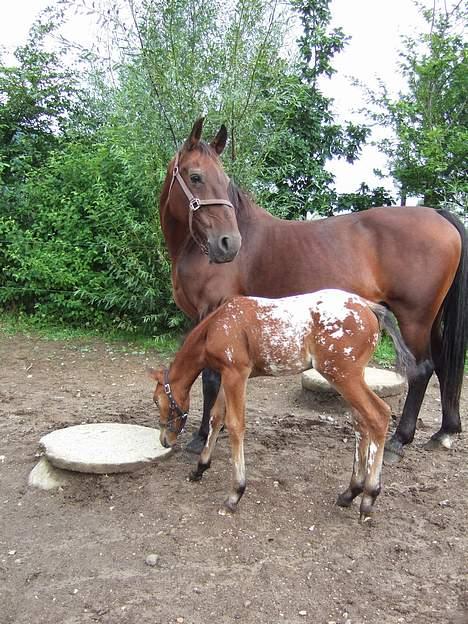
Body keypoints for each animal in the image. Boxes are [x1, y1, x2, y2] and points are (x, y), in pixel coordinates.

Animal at [150, 290, 414, 524]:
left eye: (156, 400)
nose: (164, 439)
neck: (216, 326)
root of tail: (368, 307)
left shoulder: (236, 374)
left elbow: (235, 425)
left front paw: (235, 493)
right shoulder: (227, 375)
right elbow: (217, 418)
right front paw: (200, 468)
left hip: (343, 375)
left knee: (378, 415)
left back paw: (368, 499)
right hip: (349, 377)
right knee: (361, 422)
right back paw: (350, 493)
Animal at [159, 117, 466, 460]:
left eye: (224, 181)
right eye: (196, 177)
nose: (228, 244)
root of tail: (437, 213)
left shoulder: (211, 312)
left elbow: (209, 377)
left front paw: (201, 437)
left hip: (414, 318)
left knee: (422, 369)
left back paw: (400, 439)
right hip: (431, 319)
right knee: (443, 366)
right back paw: (444, 432)